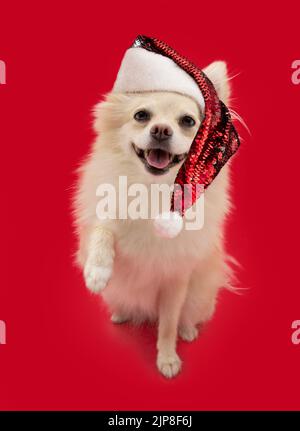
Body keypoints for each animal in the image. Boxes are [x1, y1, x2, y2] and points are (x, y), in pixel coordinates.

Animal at [72, 44, 234, 382]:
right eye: (141, 116)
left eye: (187, 121)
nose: (160, 129)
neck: (152, 190)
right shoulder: (102, 215)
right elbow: (102, 229)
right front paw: (97, 270)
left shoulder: (175, 280)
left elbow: (168, 324)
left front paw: (167, 357)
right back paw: (121, 312)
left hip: (199, 294)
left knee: (188, 316)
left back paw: (188, 330)